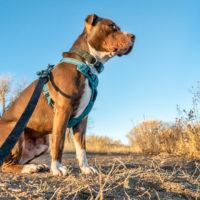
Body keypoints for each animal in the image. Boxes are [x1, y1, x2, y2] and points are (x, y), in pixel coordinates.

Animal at [0, 14, 134, 175]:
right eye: (112, 26)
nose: (133, 36)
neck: (87, 64)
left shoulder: (82, 119)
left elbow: (82, 147)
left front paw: (85, 168)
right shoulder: (63, 110)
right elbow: (59, 141)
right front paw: (57, 167)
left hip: (42, 143)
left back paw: (36, 165)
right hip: (14, 130)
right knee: (5, 165)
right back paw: (29, 168)